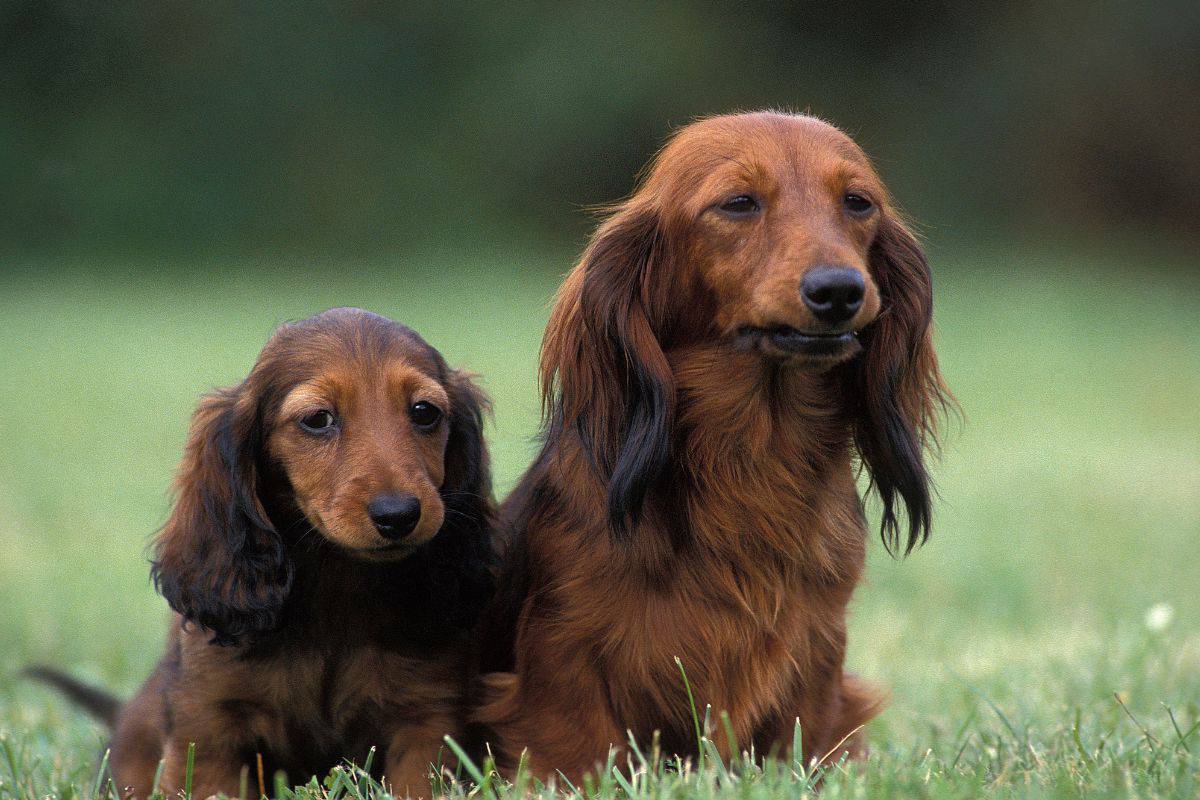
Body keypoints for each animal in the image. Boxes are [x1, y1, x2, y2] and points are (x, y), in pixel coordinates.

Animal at [31, 309, 492, 800]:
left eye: (425, 412)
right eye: (317, 419)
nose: (399, 515)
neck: (336, 596)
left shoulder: (425, 723)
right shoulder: (209, 727)